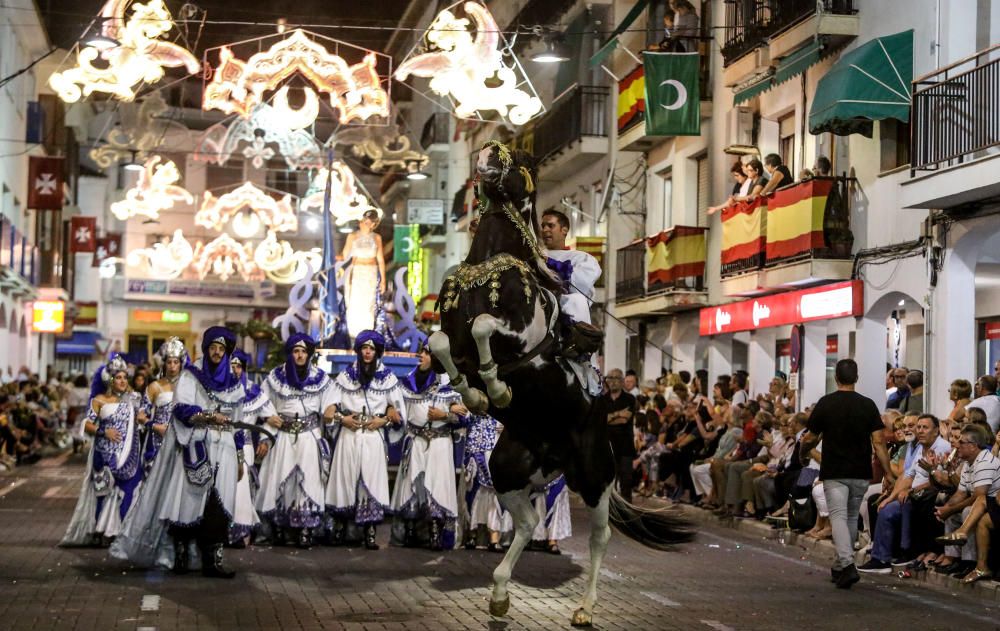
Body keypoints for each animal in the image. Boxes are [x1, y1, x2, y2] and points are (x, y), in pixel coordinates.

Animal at [426, 141, 692, 628]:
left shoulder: (518, 332)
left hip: (595, 475)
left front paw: (496, 389)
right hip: (510, 469)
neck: (489, 262)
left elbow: (485, 326)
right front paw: (473, 392)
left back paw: (584, 609)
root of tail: (558, 453)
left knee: (600, 537)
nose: (489, 149)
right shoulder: (448, 337)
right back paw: (499, 595)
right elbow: (440, 343)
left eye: (521, 162)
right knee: (528, 523)